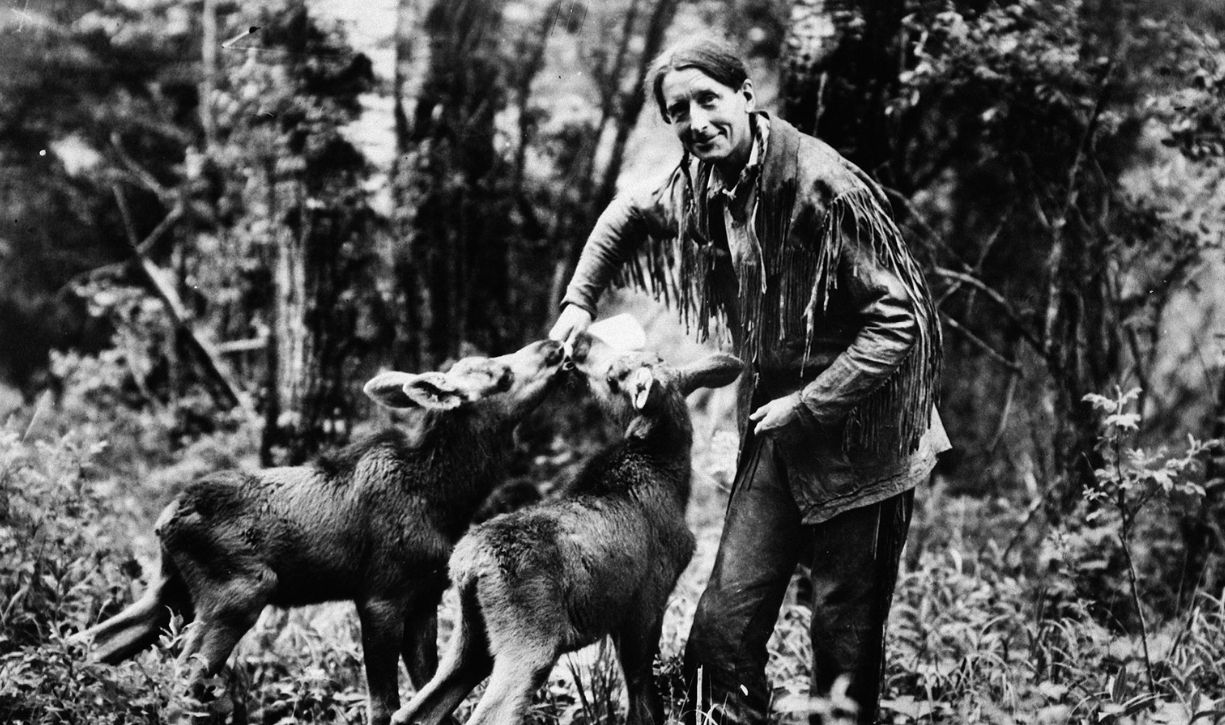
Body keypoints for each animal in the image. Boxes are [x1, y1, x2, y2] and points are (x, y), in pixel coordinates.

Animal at [79, 338, 565, 725]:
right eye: (500, 376)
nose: (553, 345)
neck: (447, 498)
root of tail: (165, 520)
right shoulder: (380, 595)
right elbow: (385, 705)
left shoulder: (425, 597)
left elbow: (429, 695)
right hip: (237, 593)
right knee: (179, 684)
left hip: (171, 591)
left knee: (92, 643)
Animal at [392, 333, 739, 725]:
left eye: (613, 376)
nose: (583, 340)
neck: (672, 480)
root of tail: (466, 566)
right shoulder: (648, 602)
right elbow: (643, 695)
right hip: (530, 643)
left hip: (471, 638)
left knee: (411, 712)